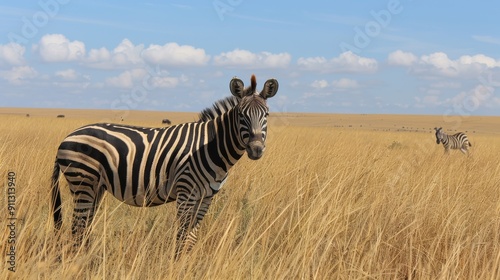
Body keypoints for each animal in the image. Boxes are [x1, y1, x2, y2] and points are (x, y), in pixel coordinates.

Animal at [51, 75, 280, 258]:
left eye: (266, 115)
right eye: (241, 115)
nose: (256, 149)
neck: (212, 146)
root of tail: (67, 137)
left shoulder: (206, 197)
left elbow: (192, 236)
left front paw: (187, 263)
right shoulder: (186, 192)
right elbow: (182, 235)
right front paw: (176, 264)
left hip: (95, 187)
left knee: (84, 226)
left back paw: (87, 259)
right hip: (83, 181)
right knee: (78, 228)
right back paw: (80, 262)